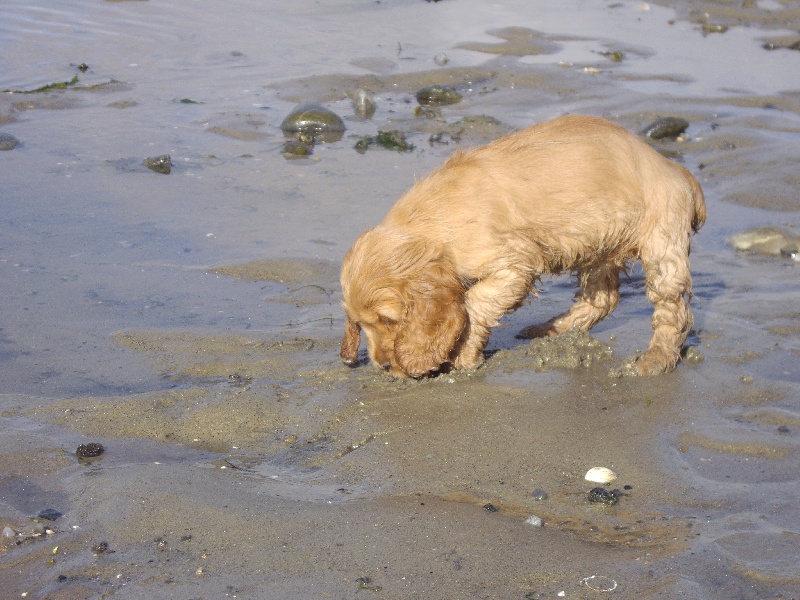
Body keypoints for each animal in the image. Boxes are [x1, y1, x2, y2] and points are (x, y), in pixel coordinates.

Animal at [340, 114, 706, 378]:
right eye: (360, 324)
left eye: (388, 320)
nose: (384, 366)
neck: (431, 221)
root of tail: (676, 169)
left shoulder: (513, 264)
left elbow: (474, 304)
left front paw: (461, 358)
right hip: (598, 246)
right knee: (603, 299)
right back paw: (549, 328)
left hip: (662, 243)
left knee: (672, 310)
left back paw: (655, 360)